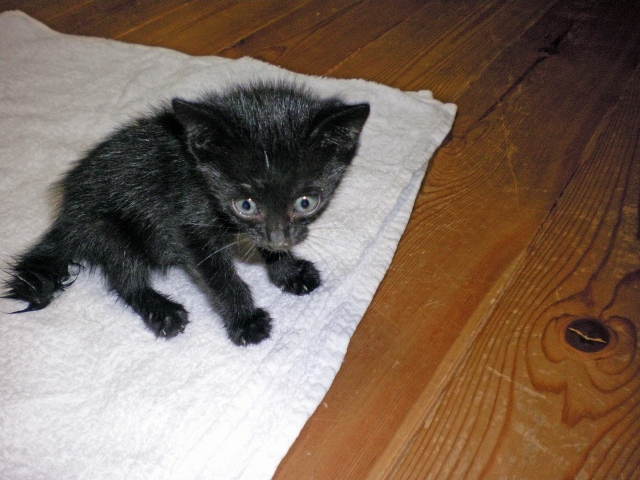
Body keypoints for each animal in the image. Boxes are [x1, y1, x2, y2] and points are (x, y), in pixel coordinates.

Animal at [3, 81, 370, 345]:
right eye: (246, 205)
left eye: (306, 202)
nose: (280, 239)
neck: (201, 176)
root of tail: (66, 215)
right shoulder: (188, 224)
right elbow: (221, 278)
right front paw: (245, 320)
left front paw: (287, 271)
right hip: (103, 227)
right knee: (125, 276)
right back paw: (160, 310)